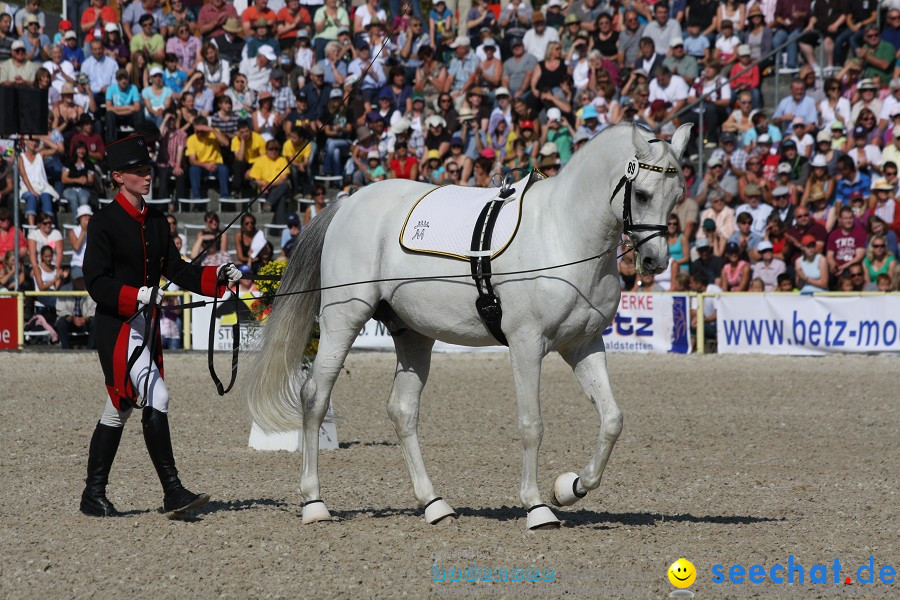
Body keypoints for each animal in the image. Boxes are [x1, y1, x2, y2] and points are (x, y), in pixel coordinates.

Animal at [243, 124, 692, 528]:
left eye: (679, 196)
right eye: (642, 193)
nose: (655, 261)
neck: (562, 235)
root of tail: (348, 202)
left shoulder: (584, 344)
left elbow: (612, 419)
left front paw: (570, 487)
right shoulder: (527, 344)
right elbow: (532, 425)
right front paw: (537, 508)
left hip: (413, 334)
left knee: (402, 410)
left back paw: (434, 504)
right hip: (343, 318)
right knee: (315, 396)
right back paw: (315, 504)